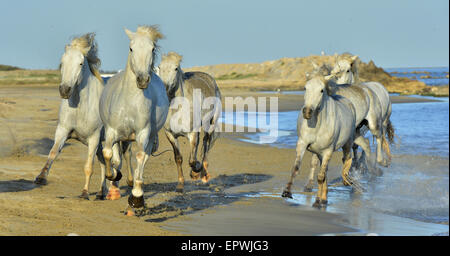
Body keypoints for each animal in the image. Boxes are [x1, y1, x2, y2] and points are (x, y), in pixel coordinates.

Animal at [99, 25, 169, 215]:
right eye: (131, 48)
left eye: (152, 49)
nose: (143, 80)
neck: (130, 101)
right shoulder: (112, 131)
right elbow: (108, 154)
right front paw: (113, 175)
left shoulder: (143, 133)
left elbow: (140, 157)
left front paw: (136, 198)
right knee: (119, 156)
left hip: (147, 137)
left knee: (140, 158)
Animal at [157, 52, 222, 192]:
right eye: (159, 67)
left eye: (176, 68)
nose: (164, 88)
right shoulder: (170, 135)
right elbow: (179, 158)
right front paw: (180, 185)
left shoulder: (192, 133)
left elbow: (192, 160)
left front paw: (195, 172)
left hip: (210, 125)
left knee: (206, 144)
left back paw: (203, 174)